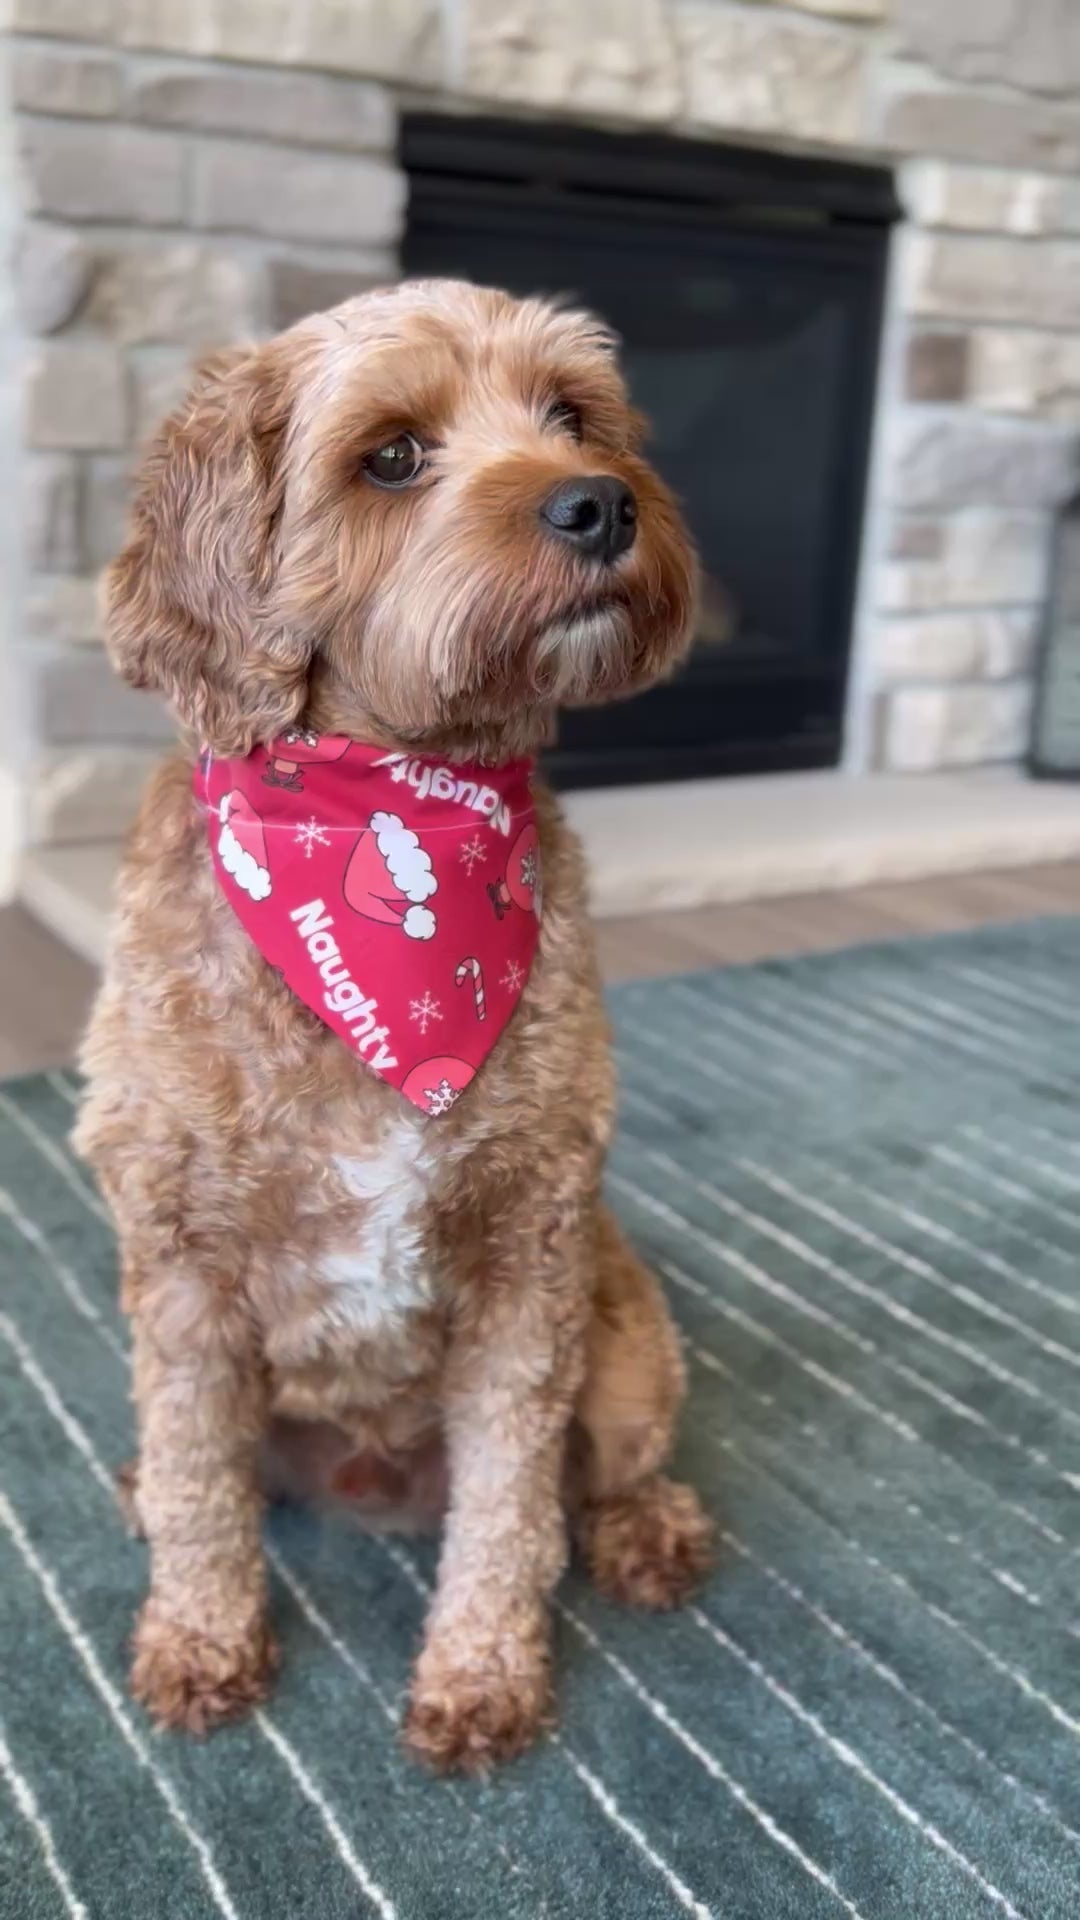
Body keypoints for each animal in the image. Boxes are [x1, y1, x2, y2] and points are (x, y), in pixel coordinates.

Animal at [75, 278, 707, 1774]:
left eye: (570, 415)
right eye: (393, 457)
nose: (600, 502)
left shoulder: (532, 1259)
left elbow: (513, 1506)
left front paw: (481, 1677)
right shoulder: (178, 1269)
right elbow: (200, 1483)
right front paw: (202, 1641)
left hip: (628, 1340)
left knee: (607, 1474)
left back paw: (650, 1532)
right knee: (202, 1472)